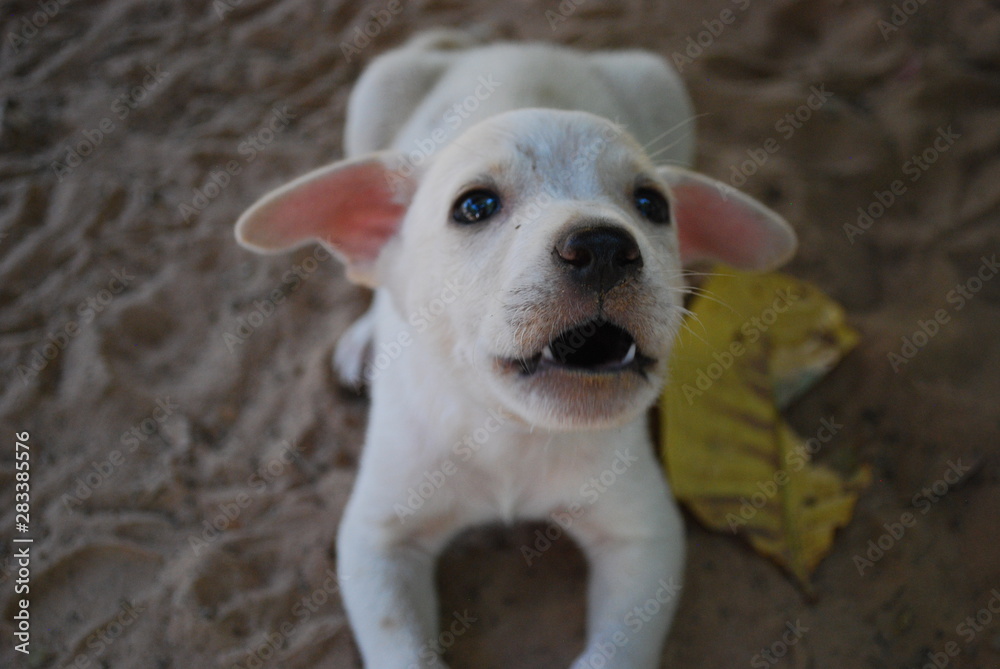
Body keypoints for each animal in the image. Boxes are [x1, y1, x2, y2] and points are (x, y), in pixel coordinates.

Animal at [236, 30, 796, 668]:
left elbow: (615, 652)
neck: (509, 431)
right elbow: (402, 649)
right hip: (377, 91)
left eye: (652, 205)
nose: (604, 246)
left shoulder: (644, 536)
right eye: (474, 206)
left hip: (659, 84)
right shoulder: (376, 537)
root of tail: (508, 42)